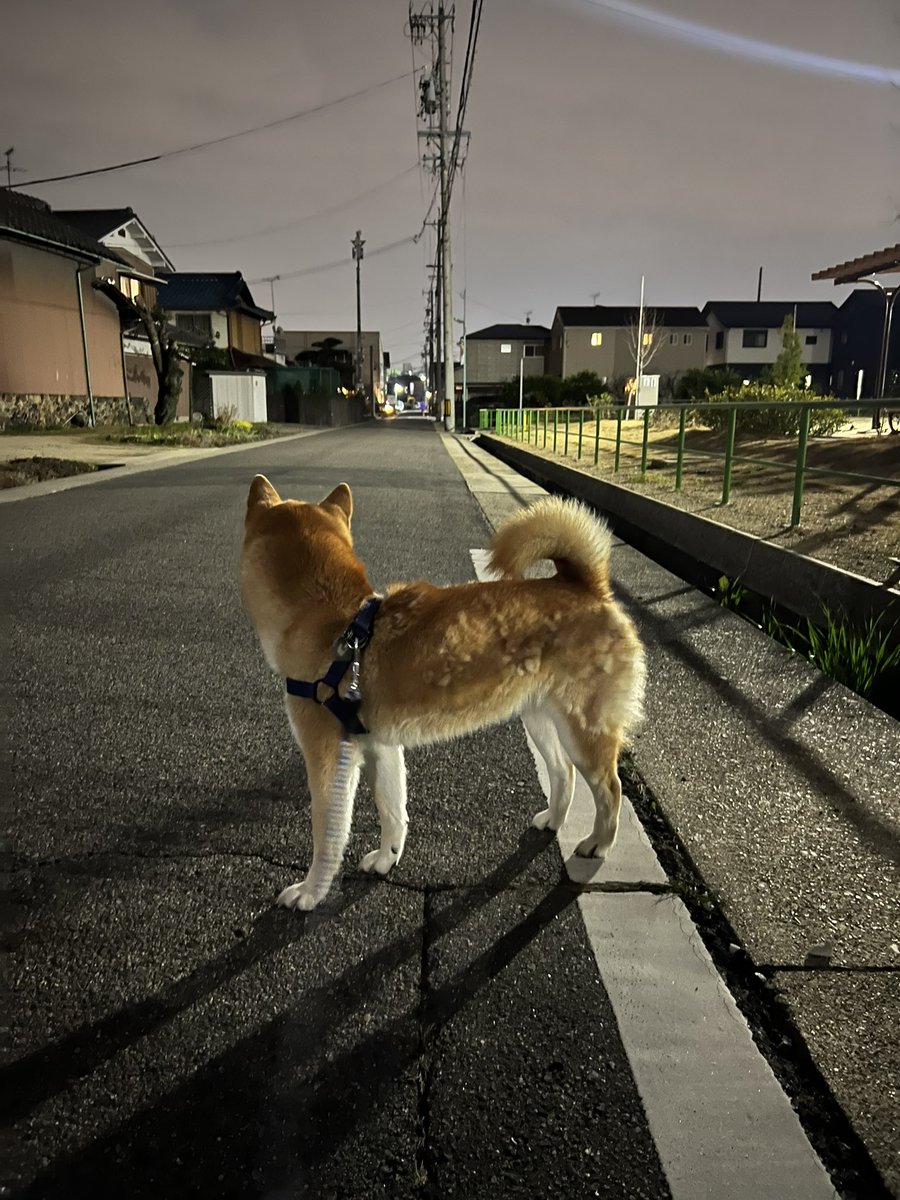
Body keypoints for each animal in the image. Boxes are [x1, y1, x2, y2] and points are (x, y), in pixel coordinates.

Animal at [243, 477, 643, 907]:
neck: (340, 625)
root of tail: (588, 586)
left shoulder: (328, 756)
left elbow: (327, 836)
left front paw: (310, 892)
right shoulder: (380, 746)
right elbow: (392, 811)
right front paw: (387, 858)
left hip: (583, 731)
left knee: (611, 789)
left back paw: (598, 844)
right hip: (540, 719)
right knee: (563, 772)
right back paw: (553, 820)